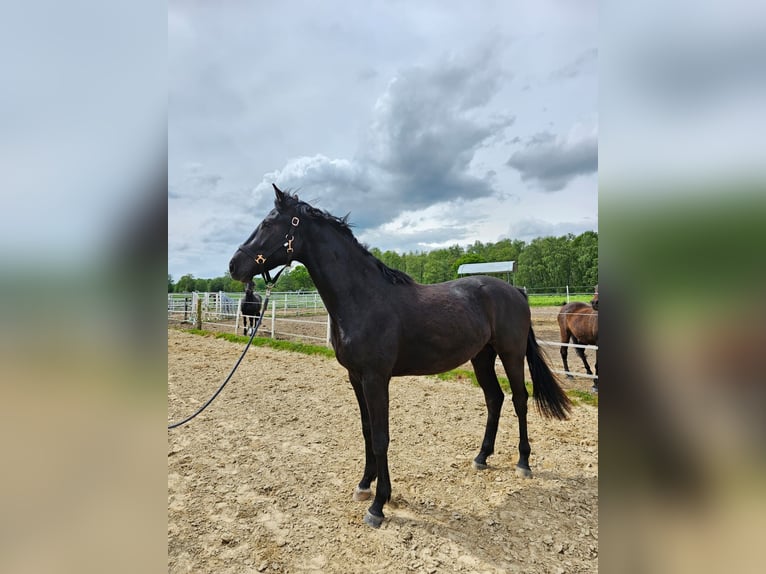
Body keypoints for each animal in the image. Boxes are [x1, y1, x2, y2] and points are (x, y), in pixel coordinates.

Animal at [228, 184, 571, 528]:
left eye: (269, 223)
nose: (234, 266)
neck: (364, 298)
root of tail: (516, 292)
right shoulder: (356, 378)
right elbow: (367, 431)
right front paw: (364, 485)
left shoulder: (376, 379)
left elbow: (381, 437)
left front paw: (378, 505)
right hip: (482, 357)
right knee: (494, 399)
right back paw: (481, 457)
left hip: (511, 354)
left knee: (519, 399)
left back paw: (523, 462)